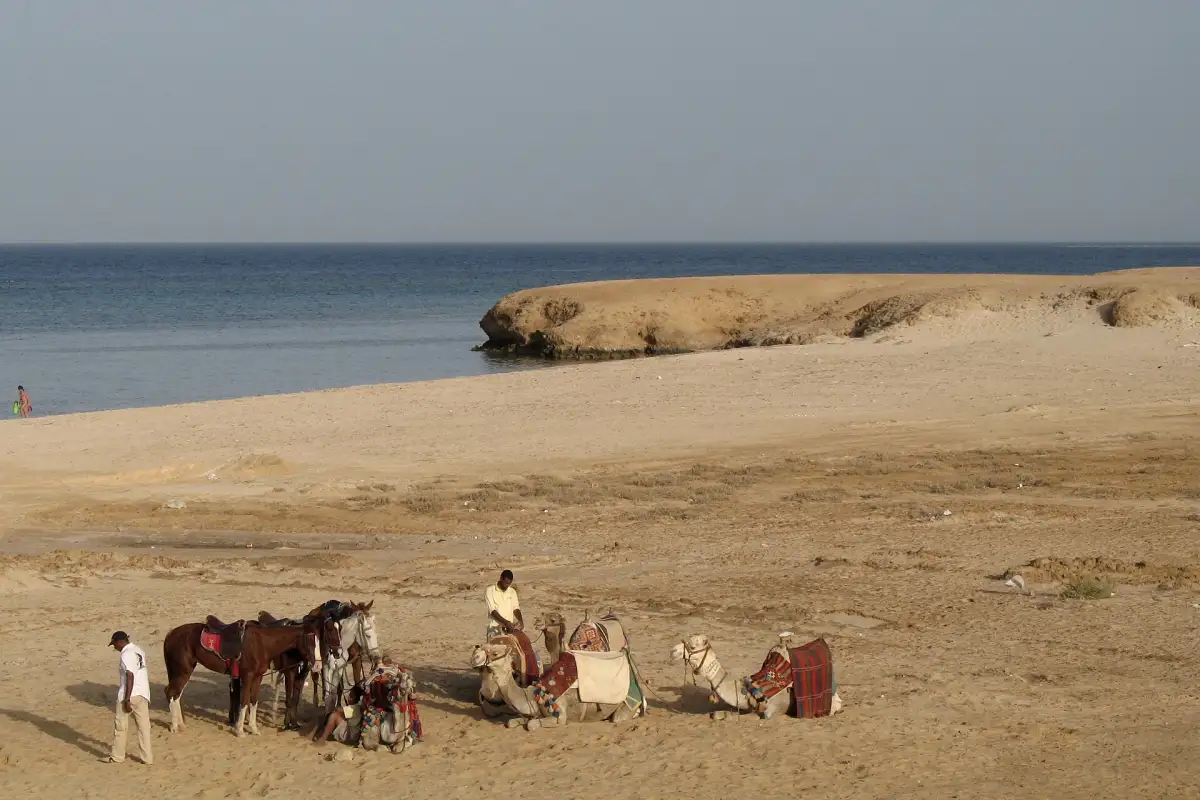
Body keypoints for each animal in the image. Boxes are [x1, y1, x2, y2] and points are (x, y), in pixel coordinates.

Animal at [470, 641, 644, 731]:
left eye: (495, 653)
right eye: (484, 646)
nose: (475, 656)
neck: (533, 695)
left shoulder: (559, 715)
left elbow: (532, 725)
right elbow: (511, 722)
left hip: (626, 705)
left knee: (619, 717)